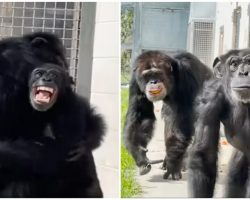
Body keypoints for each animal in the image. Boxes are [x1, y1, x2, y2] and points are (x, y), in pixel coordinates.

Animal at [124, 50, 212, 179]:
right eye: (147, 76)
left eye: (157, 73)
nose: (153, 81)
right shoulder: (135, 82)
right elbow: (141, 115)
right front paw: (140, 154)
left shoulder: (187, 75)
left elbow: (182, 121)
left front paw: (173, 164)